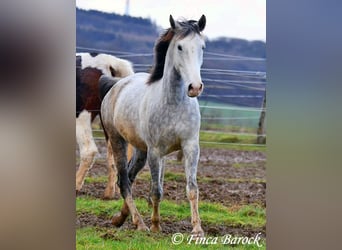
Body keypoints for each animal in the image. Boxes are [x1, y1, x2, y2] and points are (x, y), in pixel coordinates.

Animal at [100, 14, 206, 235]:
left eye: (202, 46)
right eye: (180, 47)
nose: (195, 87)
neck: (174, 103)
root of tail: (115, 86)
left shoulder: (191, 147)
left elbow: (192, 188)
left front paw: (197, 230)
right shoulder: (156, 151)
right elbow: (156, 190)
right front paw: (156, 226)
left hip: (141, 150)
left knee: (129, 177)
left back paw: (121, 219)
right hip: (118, 141)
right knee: (124, 181)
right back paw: (139, 223)